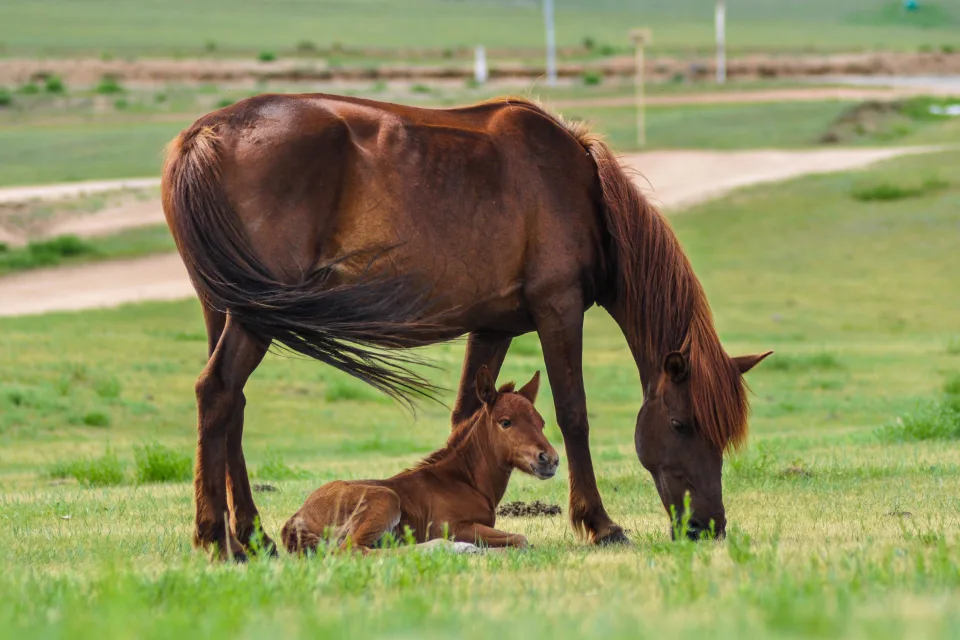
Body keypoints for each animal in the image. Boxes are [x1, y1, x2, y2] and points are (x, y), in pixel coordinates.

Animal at [281, 367, 556, 554]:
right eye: (505, 422)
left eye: (541, 423)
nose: (550, 459)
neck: (464, 481)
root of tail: (297, 517)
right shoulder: (454, 526)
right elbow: (520, 539)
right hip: (385, 499)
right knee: (354, 550)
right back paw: (453, 548)